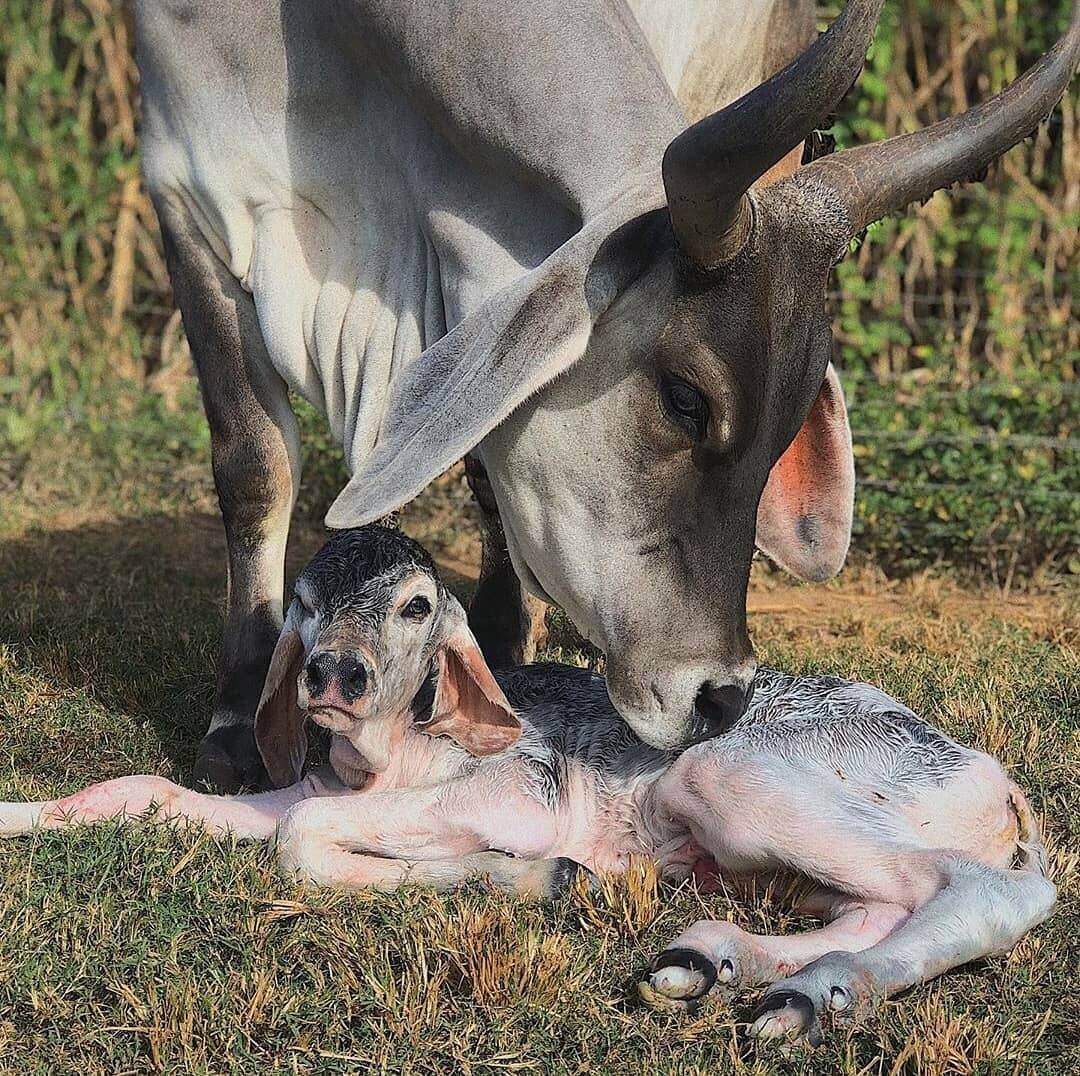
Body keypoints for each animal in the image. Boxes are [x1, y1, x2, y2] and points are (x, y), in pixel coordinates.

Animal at [0, 527, 1049, 1041]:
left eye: (416, 605)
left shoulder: (521, 795)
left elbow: (308, 845)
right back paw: (717, 968)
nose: (333, 675)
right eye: (302, 600)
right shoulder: (296, 791)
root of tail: (997, 783)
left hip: (728, 776)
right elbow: (140, 790)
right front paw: (19, 811)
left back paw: (815, 1000)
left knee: (984, 891)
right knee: (878, 903)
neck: (381, 761)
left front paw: (535, 877)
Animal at [135, 2, 1080, 790]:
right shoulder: (182, 192)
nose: (720, 699)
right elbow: (253, 467)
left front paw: (501, 653)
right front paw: (236, 715)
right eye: (686, 399)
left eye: (785, 429)